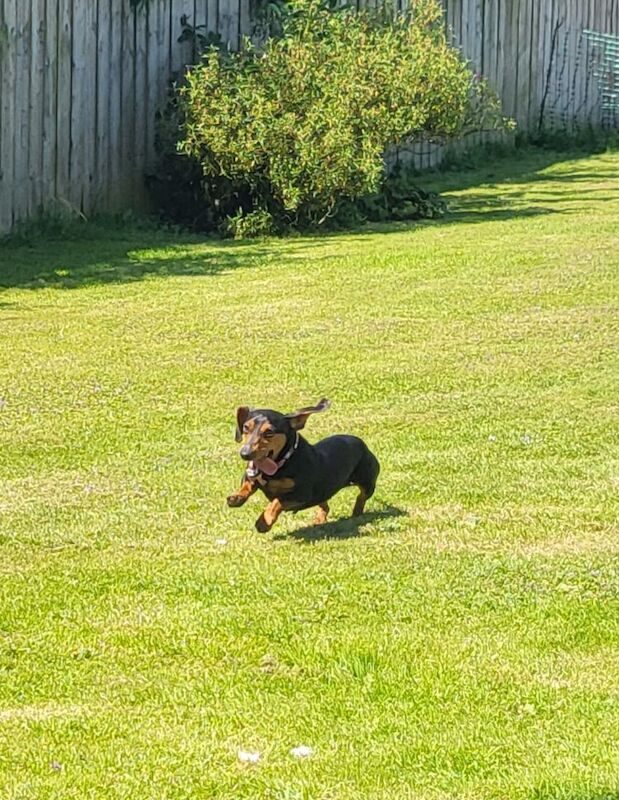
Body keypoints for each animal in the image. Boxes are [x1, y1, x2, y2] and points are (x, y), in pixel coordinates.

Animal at [228, 398, 380, 532]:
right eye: (246, 427)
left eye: (269, 432)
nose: (245, 454)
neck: (280, 466)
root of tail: (361, 443)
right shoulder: (251, 476)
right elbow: (247, 486)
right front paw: (236, 498)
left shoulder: (301, 495)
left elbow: (277, 501)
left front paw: (264, 521)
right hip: (322, 492)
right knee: (325, 505)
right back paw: (320, 519)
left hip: (368, 482)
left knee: (361, 497)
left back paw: (356, 513)